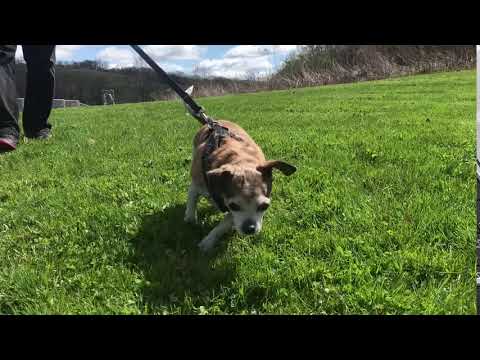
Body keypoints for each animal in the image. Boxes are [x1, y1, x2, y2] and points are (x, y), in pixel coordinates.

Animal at [184, 119, 296, 252]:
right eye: (234, 206)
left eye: (264, 206)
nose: (250, 228)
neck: (242, 162)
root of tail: (216, 121)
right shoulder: (197, 184)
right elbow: (192, 200)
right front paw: (190, 219)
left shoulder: (231, 213)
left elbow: (224, 224)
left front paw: (209, 241)